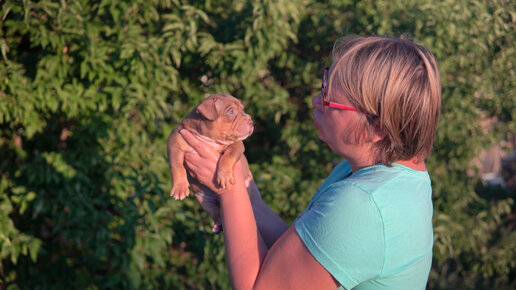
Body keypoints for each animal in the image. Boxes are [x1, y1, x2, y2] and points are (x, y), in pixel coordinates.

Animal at [167, 94, 254, 232]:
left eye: (243, 109)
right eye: (231, 112)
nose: (251, 121)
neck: (209, 139)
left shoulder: (237, 145)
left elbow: (228, 157)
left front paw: (225, 176)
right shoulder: (174, 144)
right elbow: (177, 166)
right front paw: (180, 188)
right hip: (204, 201)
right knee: (215, 212)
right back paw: (218, 224)